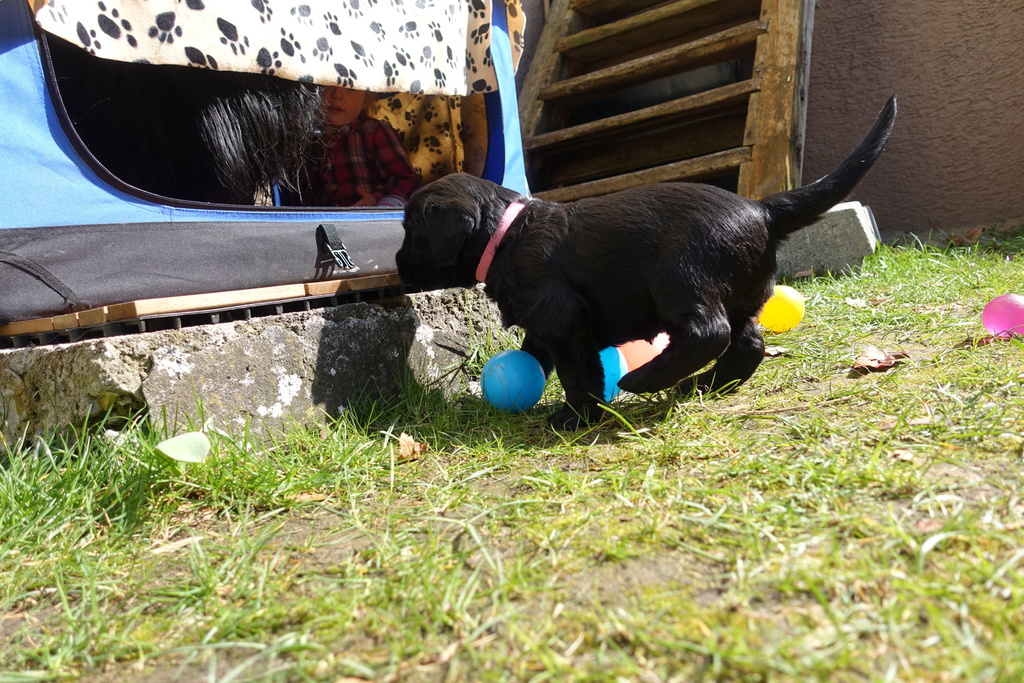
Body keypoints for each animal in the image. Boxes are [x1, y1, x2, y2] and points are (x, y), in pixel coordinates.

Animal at [397, 96, 896, 429]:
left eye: (412, 233)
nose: (397, 265)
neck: (506, 234)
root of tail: (763, 209)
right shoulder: (543, 319)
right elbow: (535, 352)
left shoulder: (561, 314)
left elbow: (577, 368)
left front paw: (577, 415)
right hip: (744, 292)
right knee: (747, 342)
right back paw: (704, 386)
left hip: (679, 278)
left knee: (709, 331)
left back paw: (646, 379)